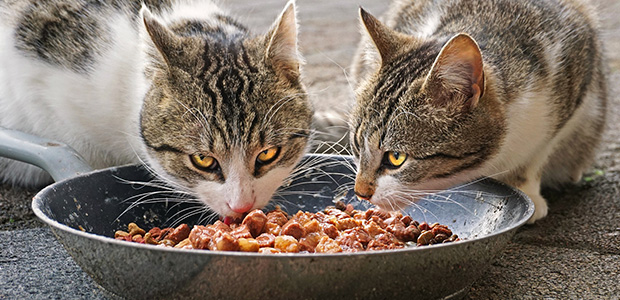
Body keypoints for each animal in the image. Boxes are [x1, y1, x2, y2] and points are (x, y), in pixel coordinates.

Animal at [348, 0, 604, 223]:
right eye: (358, 145)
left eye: (396, 157)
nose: (360, 192)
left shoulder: (575, 77)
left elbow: (537, 154)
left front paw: (526, 188)